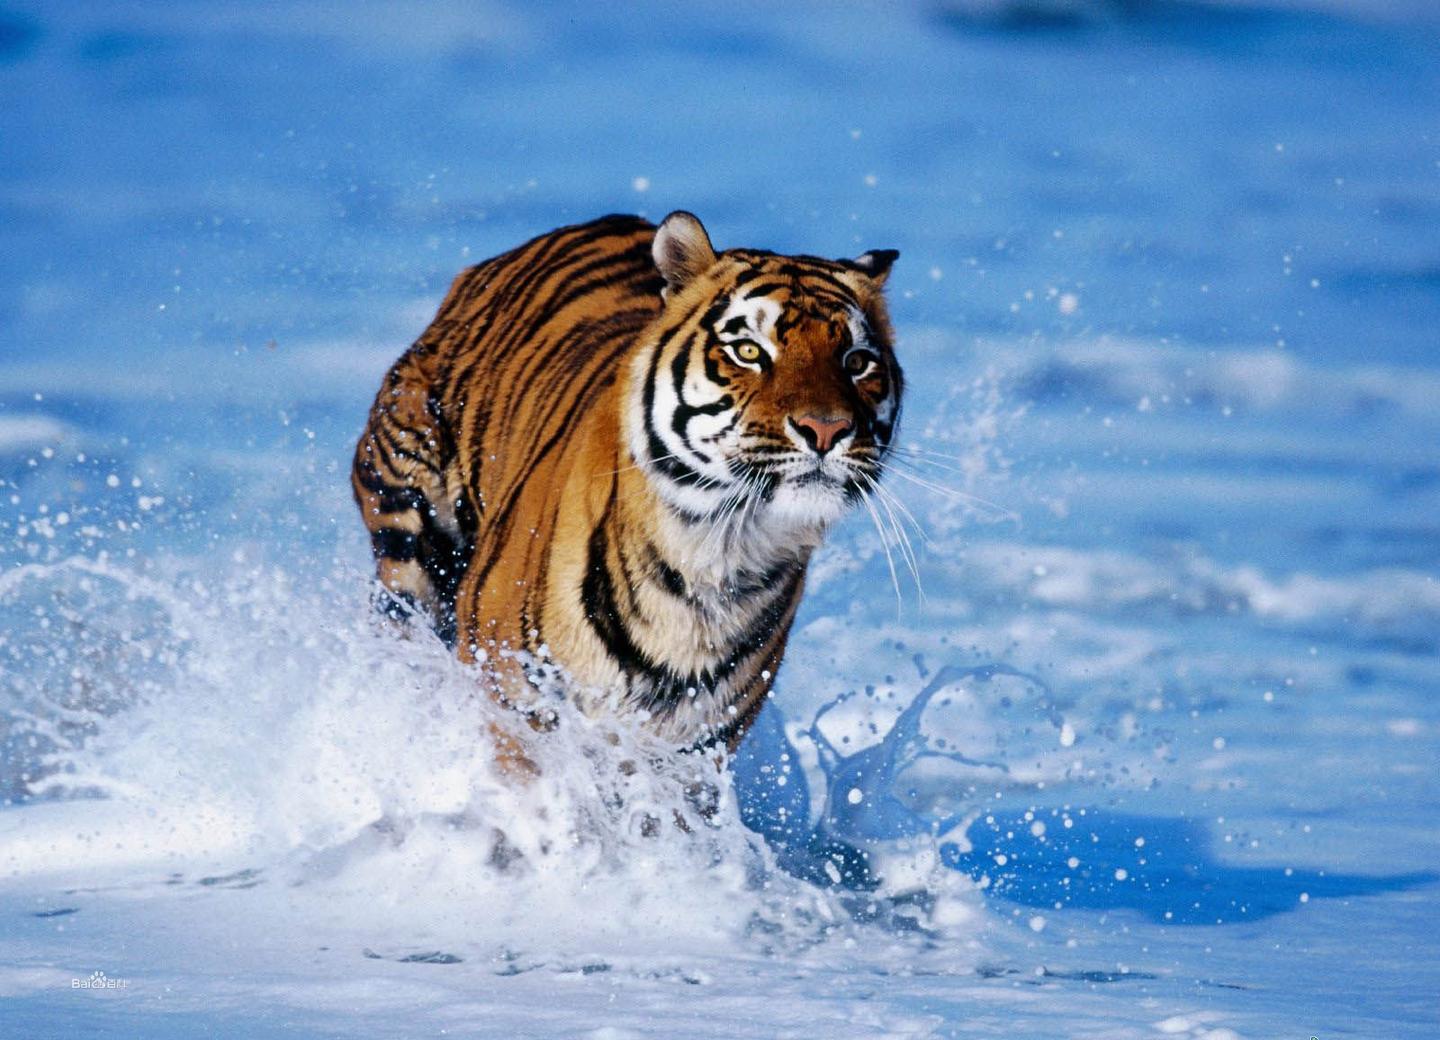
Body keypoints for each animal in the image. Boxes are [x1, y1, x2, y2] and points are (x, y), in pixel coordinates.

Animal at [352, 211, 902, 752]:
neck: (716, 556)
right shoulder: (513, 701)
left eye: (857, 362)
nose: (826, 429)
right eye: (748, 351)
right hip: (409, 536)